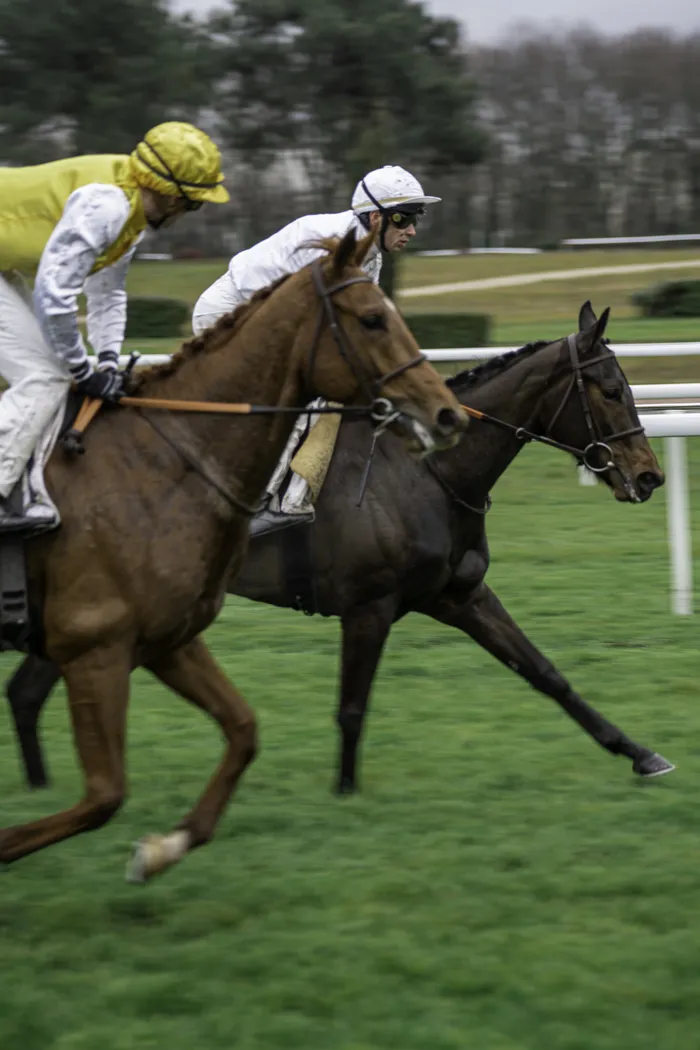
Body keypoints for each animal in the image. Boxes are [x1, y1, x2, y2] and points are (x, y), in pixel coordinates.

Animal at [1, 227, 470, 877]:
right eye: (374, 318)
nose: (447, 413)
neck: (165, 463)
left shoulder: (165, 640)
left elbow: (244, 731)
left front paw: (165, 847)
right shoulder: (93, 647)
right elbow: (103, 795)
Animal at [4, 300, 671, 797]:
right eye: (611, 389)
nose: (649, 476)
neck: (428, 475)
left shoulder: (460, 595)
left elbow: (545, 673)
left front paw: (639, 752)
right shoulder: (369, 606)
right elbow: (352, 707)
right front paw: (345, 793)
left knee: (25, 691)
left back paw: (41, 790)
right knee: (29, 689)